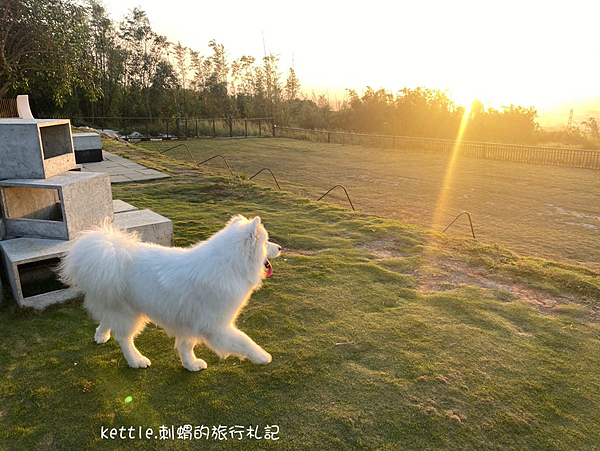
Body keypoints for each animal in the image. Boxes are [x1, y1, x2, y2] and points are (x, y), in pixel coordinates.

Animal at [58, 215, 282, 370]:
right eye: (266, 242)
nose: (280, 248)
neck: (230, 265)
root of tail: (110, 252)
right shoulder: (217, 327)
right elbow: (244, 341)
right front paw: (263, 357)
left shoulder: (189, 323)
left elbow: (186, 346)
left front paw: (190, 364)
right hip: (130, 314)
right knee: (124, 338)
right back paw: (136, 360)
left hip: (118, 305)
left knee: (107, 320)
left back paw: (101, 335)